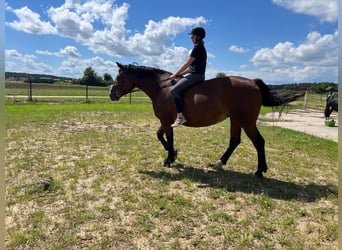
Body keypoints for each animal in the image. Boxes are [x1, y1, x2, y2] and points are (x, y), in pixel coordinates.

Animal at [109, 63, 302, 179]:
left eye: (119, 77)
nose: (111, 93)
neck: (162, 88)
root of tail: (253, 82)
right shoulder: (166, 121)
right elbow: (160, 136)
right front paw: (174, 154)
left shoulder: (165, 120)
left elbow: (167, 138)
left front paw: (169, 159)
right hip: (236, 119)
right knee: (235, 141)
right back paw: (219, 163)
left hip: (247, 121)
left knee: (258, 142)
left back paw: (259, 171)